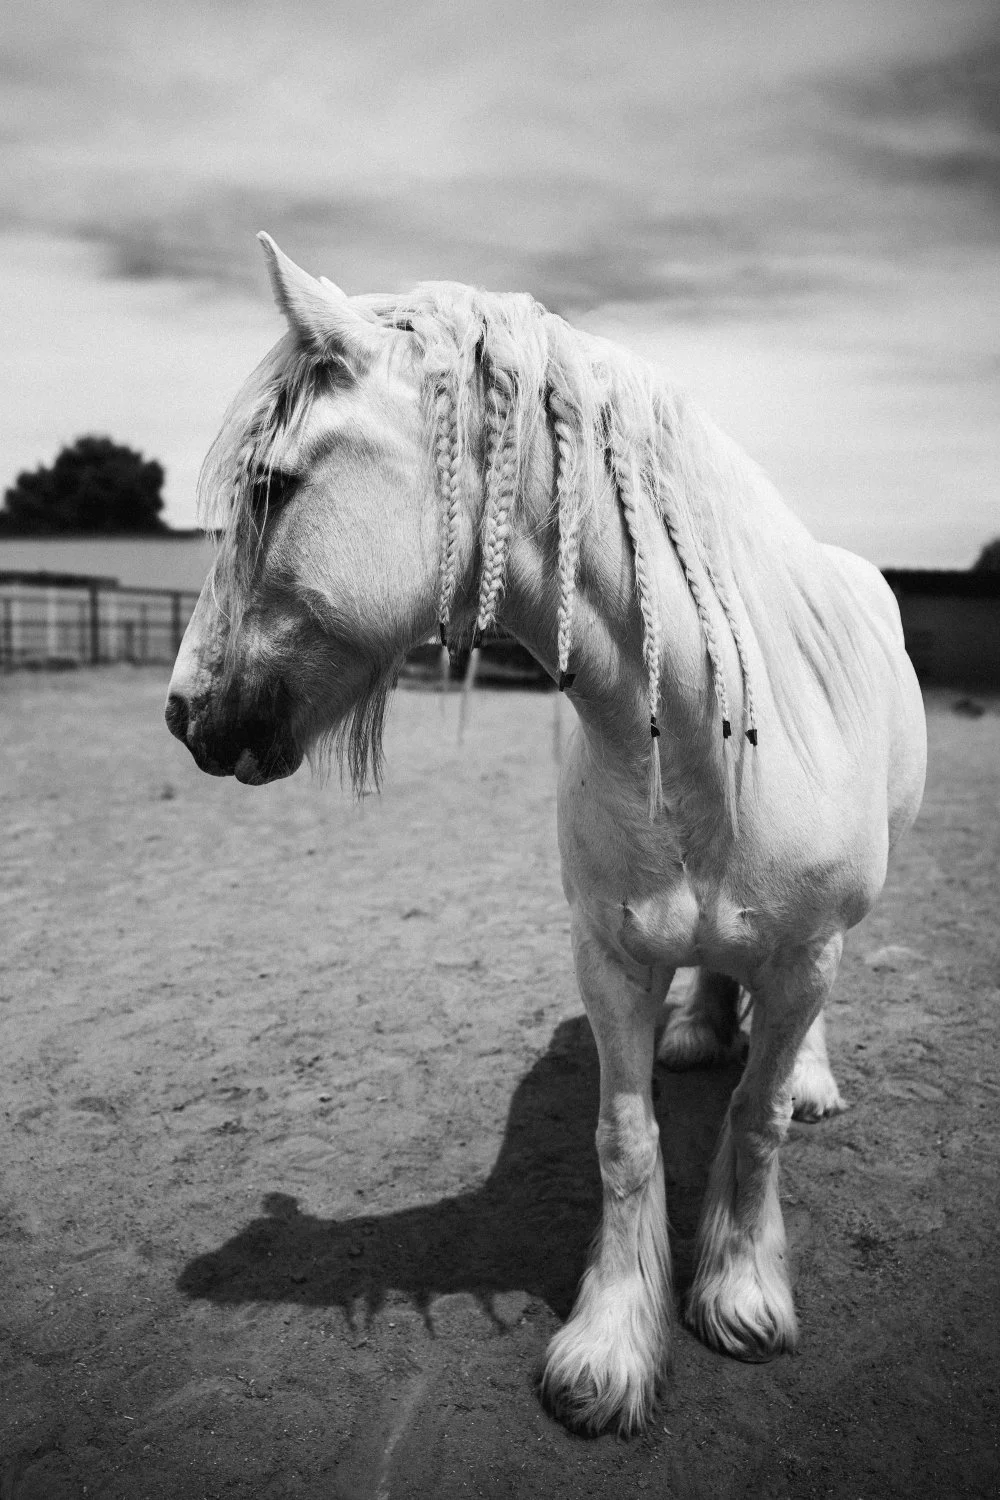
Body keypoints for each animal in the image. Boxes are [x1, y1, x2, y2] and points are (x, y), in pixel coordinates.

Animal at [165, 234, 927, 1436]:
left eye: (269, 486)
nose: (181, 709)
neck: (703, 739)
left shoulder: (805, 952)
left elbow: (755, 1121)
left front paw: (740, 1293)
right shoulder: (608, 954)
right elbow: (626, 1141)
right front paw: (610, 1349)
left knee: (792, 1044)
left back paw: (807, 1076)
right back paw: (697, 1031)